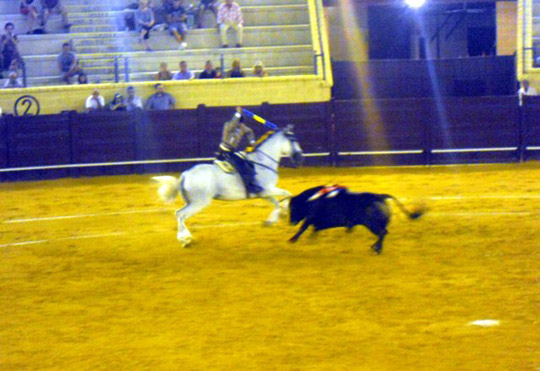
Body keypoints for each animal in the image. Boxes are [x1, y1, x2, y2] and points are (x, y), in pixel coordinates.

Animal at [152, 127, 304, 247]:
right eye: (294, 139)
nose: (300, 157)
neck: (262, 162)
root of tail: (184, 175)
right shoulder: (267, 189)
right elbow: (287, 193)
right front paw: (282, 213)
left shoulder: (263, 193)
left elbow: (277, 202)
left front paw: (273, 219)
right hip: (199, 203)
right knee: (181, 214)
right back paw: (185, 239)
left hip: (190, 202)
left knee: (178, 214)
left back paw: (185, 239)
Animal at [288, 187, 424, 254]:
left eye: (293, 207)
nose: (291, 222)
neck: (312, 200)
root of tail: (380, 196)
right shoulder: (318, 221)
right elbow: (313, 228)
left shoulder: (311, 218)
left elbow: (304, 227)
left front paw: (292, 239)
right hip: (376, 224)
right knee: (384, 232)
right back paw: (376, 247)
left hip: (372, 224)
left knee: (382, 233)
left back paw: (376, 249)